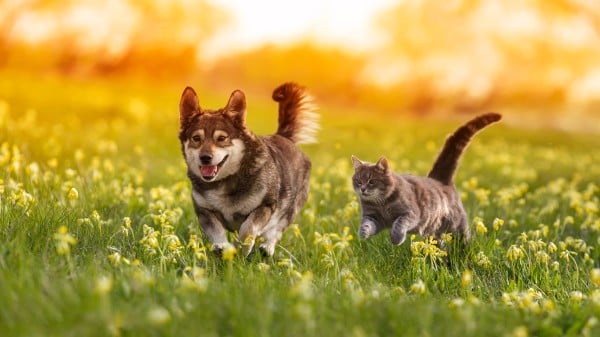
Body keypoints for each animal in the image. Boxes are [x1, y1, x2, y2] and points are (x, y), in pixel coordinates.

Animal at [178, 82, 318, 256]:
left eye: (221, 138)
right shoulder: (205, 211)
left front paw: (241, 247)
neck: (225, 181)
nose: (205, 158)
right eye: (196, 138)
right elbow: (216, 230)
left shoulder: (265, 206)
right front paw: (221, 246)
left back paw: (267, 247)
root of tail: (284, 137)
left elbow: (248, 228)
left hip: (291, 208)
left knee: (276, 230)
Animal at [352, 112, 502, 244]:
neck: (382, 203)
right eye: (358, 181)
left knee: (464, 238)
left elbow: (399, 223)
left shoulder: (411, 213)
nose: (363, 189)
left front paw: (396, 238)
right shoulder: (372, 216)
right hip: (435, 231)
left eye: (372, 181)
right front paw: (363, 233)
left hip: (456, 226)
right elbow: (366, 224)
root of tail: (440, 179)